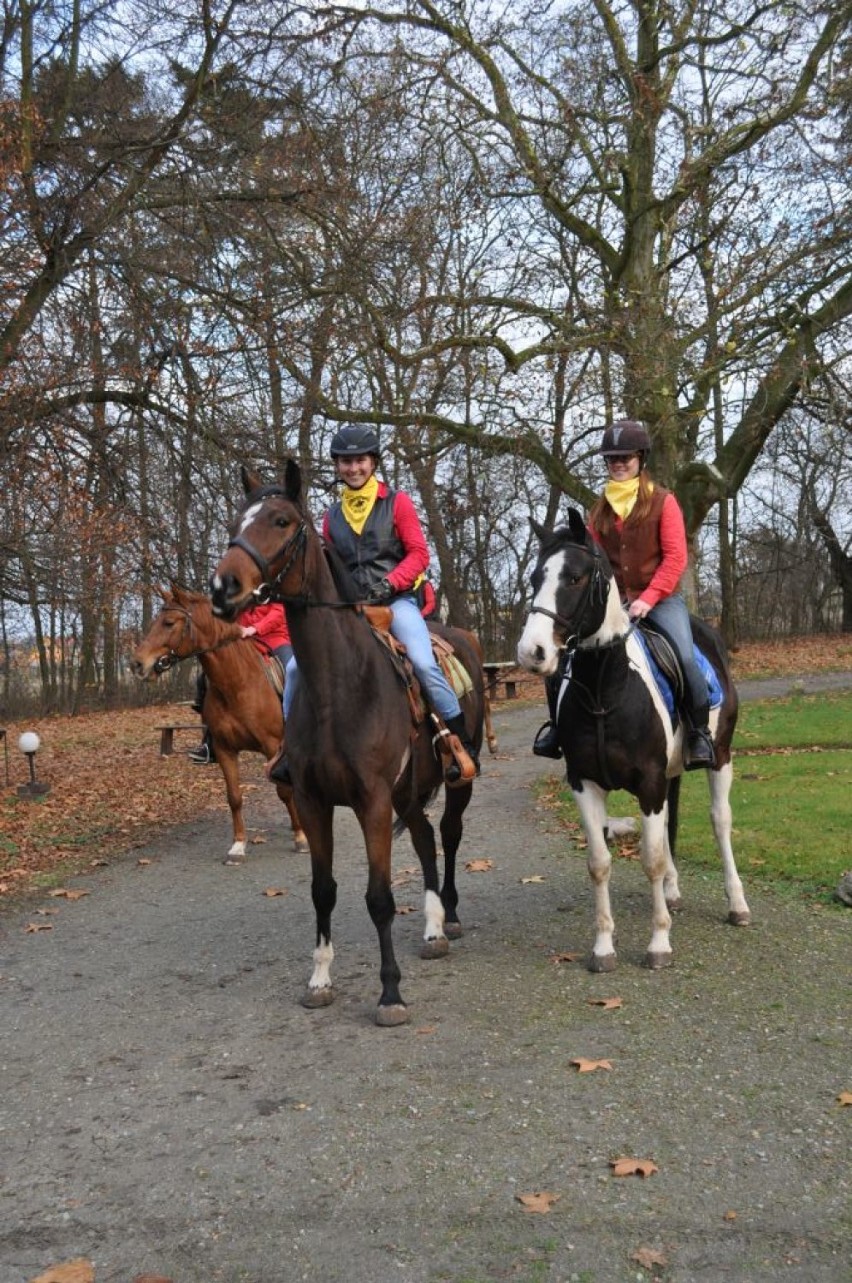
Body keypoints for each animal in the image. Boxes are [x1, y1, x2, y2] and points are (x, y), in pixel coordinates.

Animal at [129, 587, 306, 867]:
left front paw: (300, 838)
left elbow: (284, 791)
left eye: (169, 623)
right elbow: (234, 797)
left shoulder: (272, 746)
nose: (137, 664)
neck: (238, 684)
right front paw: (238, 846)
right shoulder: (224, 749)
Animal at [207, 461, 485, 1021]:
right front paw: (319, 980)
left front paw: (390, 992)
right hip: (407, 792)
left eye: (281, 520)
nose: (223, 586)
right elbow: (323, 891)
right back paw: (432, 929)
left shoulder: (372, 802)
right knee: (424, 839)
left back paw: (449, 917)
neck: (340, 686)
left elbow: (379, 897)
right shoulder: (314, 801)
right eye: (235, 521)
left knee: (447, 835)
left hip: (452, 783)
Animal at [515, 510, 749, 969]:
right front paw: (603, 947)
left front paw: (658, 943)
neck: (606, 691)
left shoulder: (650, 782)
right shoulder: (585, 783)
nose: (532, 652)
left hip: (721, 756)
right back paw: (673, 892)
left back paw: (737, 904)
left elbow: (651, 859)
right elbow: (599, 863)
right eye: (534, 578)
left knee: (720, 820)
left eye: (575, 577)